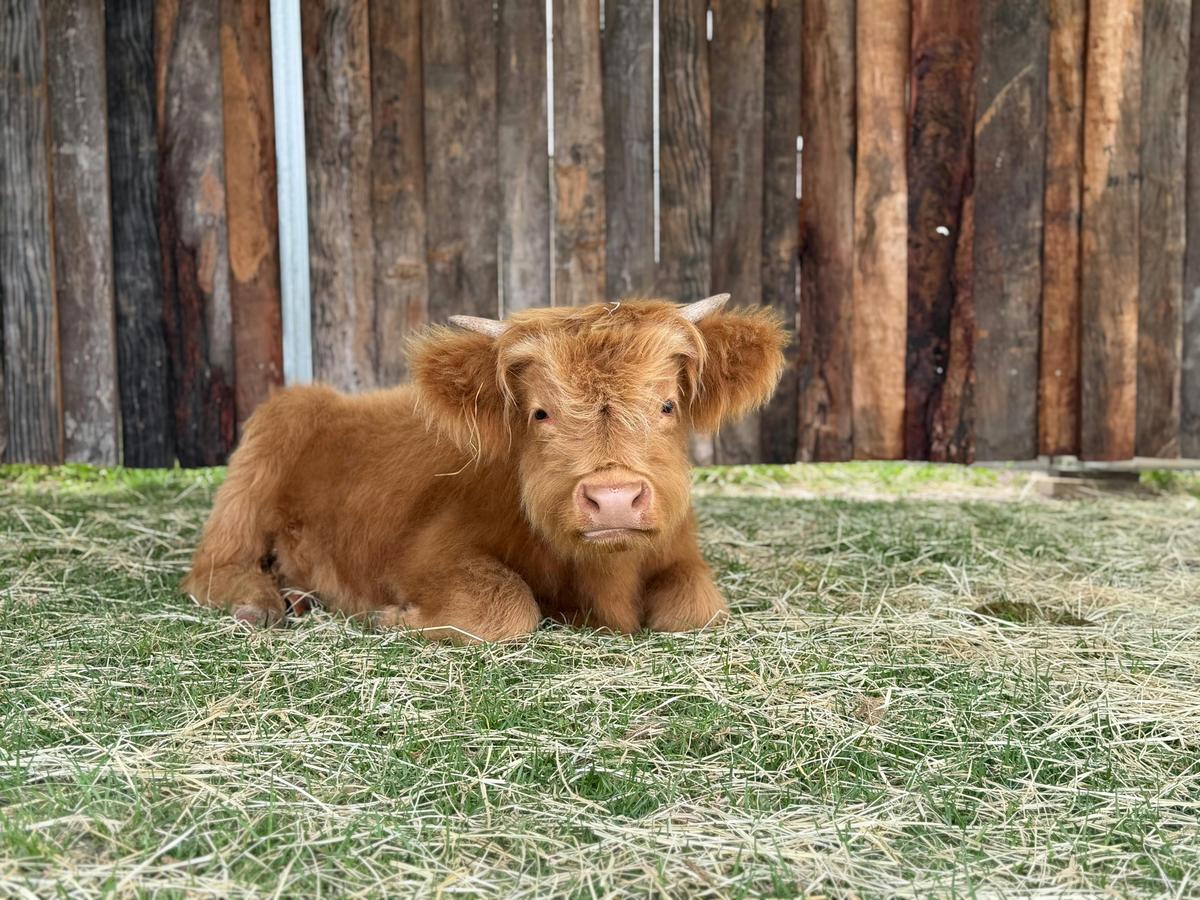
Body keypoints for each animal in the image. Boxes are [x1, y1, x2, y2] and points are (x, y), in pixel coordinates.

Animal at [181, 294, 787, 642]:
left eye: (666, 405)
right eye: (539, 412)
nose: (613, 498)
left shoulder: (680, 553)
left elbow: (698, 607)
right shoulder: (429, 551)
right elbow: (509, 606)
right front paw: (393, 618)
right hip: (256, 468)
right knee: (212, 567)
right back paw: (260, 603)